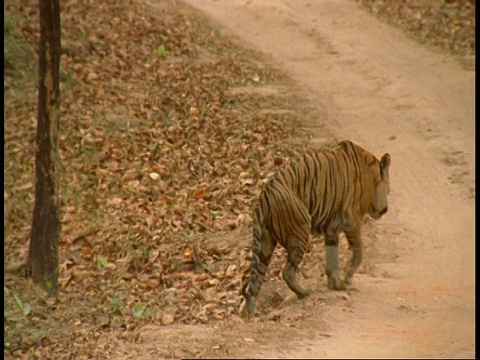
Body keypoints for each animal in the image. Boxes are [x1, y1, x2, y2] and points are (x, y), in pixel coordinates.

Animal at [242, 139, 392, 320]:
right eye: (388, 189)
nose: (385, 209)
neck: (372, 174)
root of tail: (263, 197)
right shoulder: (353, 221)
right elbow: (358, 253)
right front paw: (346, 279)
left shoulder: (332, 229)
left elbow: (332, 258)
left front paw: (336, 284)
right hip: (300, 232)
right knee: (287, 272)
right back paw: (305, 293)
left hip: (265, 243)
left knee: (256, 281)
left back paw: (251, 316)